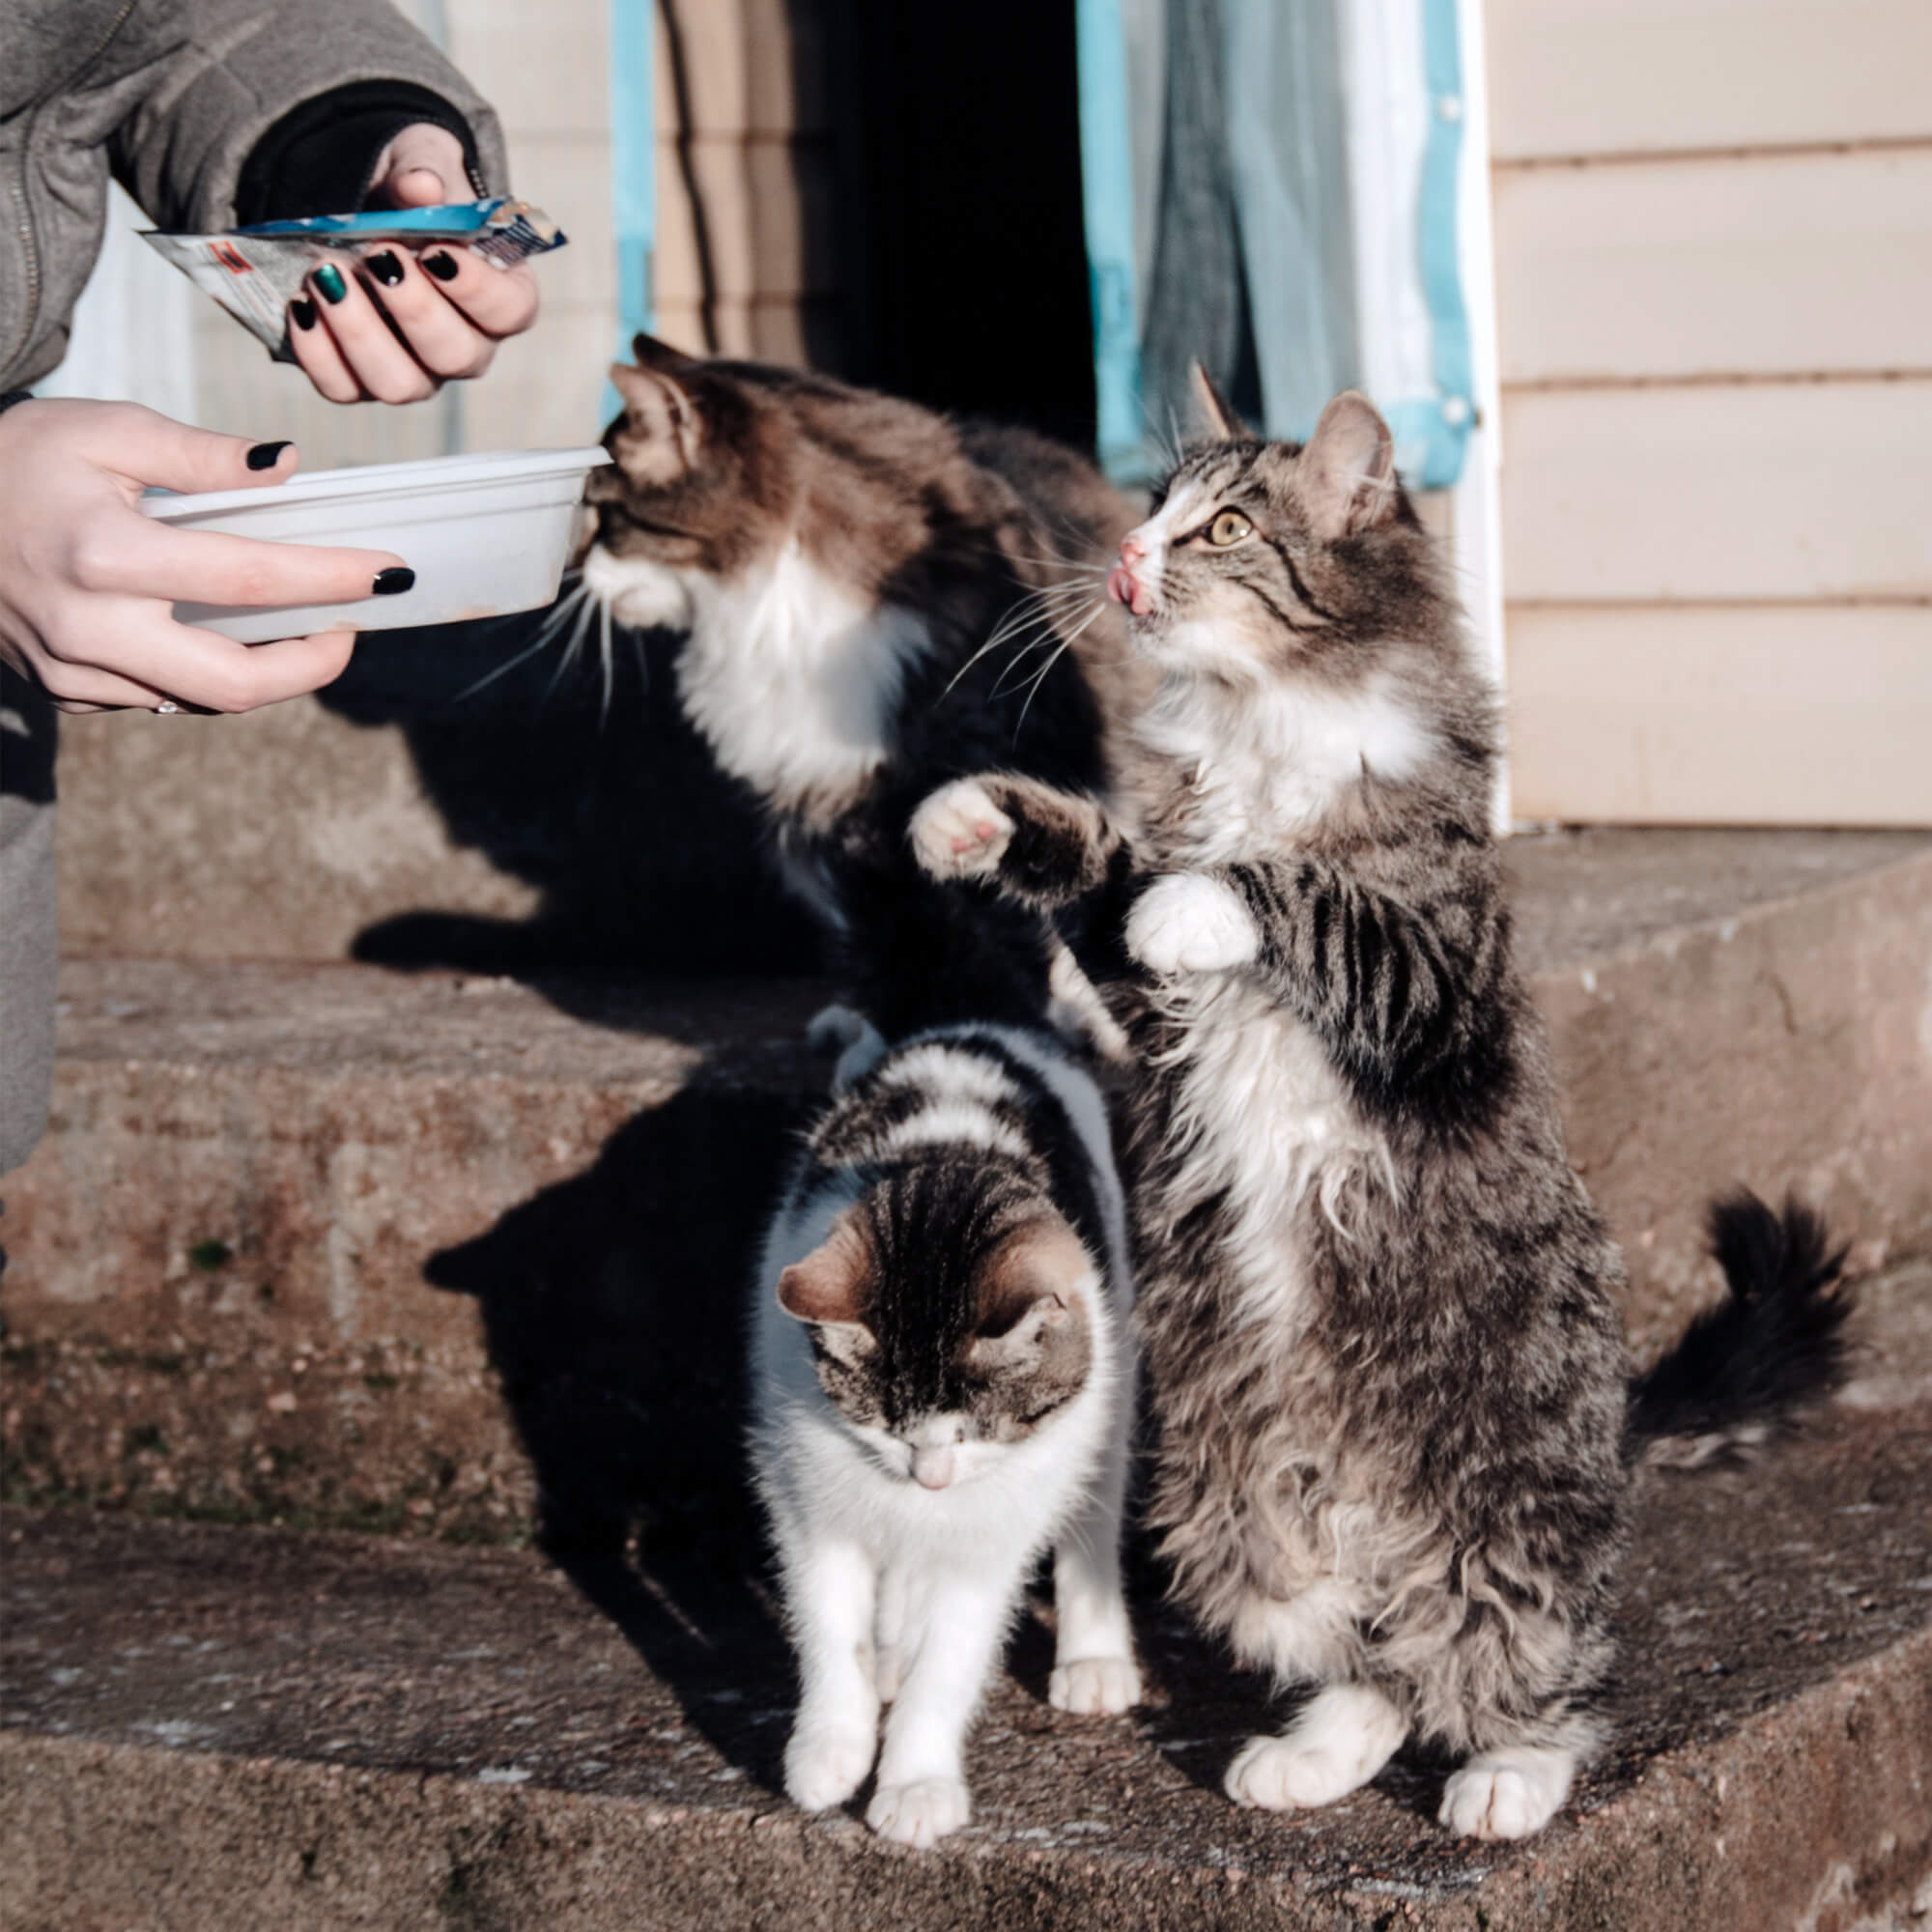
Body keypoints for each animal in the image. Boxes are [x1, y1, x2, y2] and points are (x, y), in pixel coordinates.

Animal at [572, 336, 1144, 1074]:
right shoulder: (834, 820)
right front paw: (890, 1041)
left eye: (605, 516)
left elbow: (1038, 906)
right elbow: (885, 944)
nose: (578, 569)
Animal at [750, 1020, 1144, 1847]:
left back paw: (1093, 1655)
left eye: (975, 1432)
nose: (929, 1476)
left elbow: (952, 1657)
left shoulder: (988, 1532)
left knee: (1093, 1506)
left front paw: (916, 1784)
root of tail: (977, 1027)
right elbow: (828, 1619)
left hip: (1111, 1377)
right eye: (886, 1426)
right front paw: (828, 1747)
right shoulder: (806, 1492)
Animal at [912, 377, 1847, 1839]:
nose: (1123, 557)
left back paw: (1508, 1777)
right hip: (1231, 1513)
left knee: (1525, 1661)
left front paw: (1210, 898)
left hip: (1498, 1508)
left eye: (1225, 527)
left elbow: (1297, 894)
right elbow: (1106, 869)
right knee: (1368, 1657)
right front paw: (973, 821)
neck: (1257, 724)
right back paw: (1309, 1754)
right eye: (1154, 507)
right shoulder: (1144, 993)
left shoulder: (1430, 981)